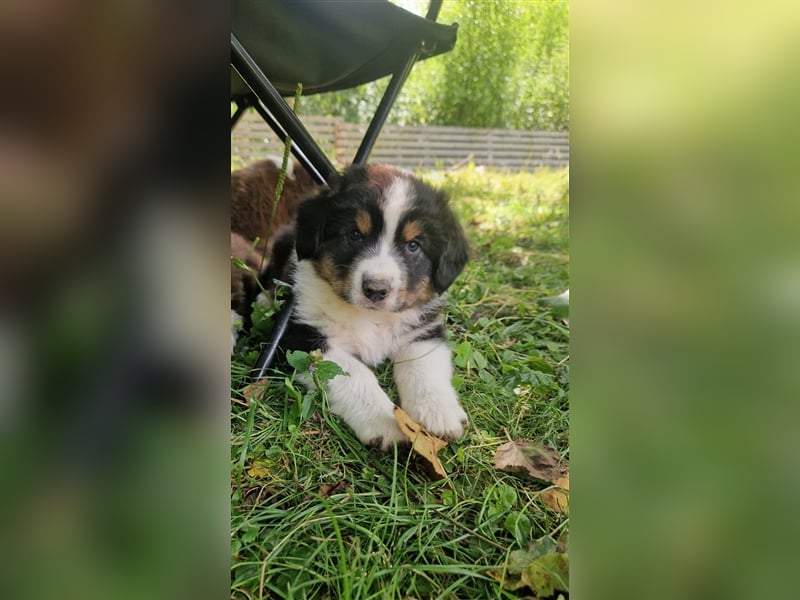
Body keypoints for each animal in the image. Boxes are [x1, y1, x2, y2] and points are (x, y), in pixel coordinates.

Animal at [276, 164, 476, 450]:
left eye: (413, 245)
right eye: (354, 235)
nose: (375, 289)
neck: (371, 317)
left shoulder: (423, 330)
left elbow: (424, 369)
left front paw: (439, 413)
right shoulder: (305, 339)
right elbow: (356, 375)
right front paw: (386, 424)